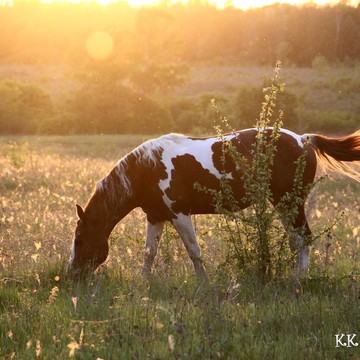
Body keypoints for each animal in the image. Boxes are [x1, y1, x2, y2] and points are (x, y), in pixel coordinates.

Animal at [67, 128, 360, 280]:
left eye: (79, 239)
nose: (72, 274)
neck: (147, 168)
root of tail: (303, 139)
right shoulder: (156, 216)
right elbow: (149, 253)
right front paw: (143, 284)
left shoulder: (180, 214)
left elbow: (194, 251)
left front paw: (204, 285)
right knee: (296, 240)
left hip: (289, 202)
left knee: (303, 239)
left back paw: (297, 280)